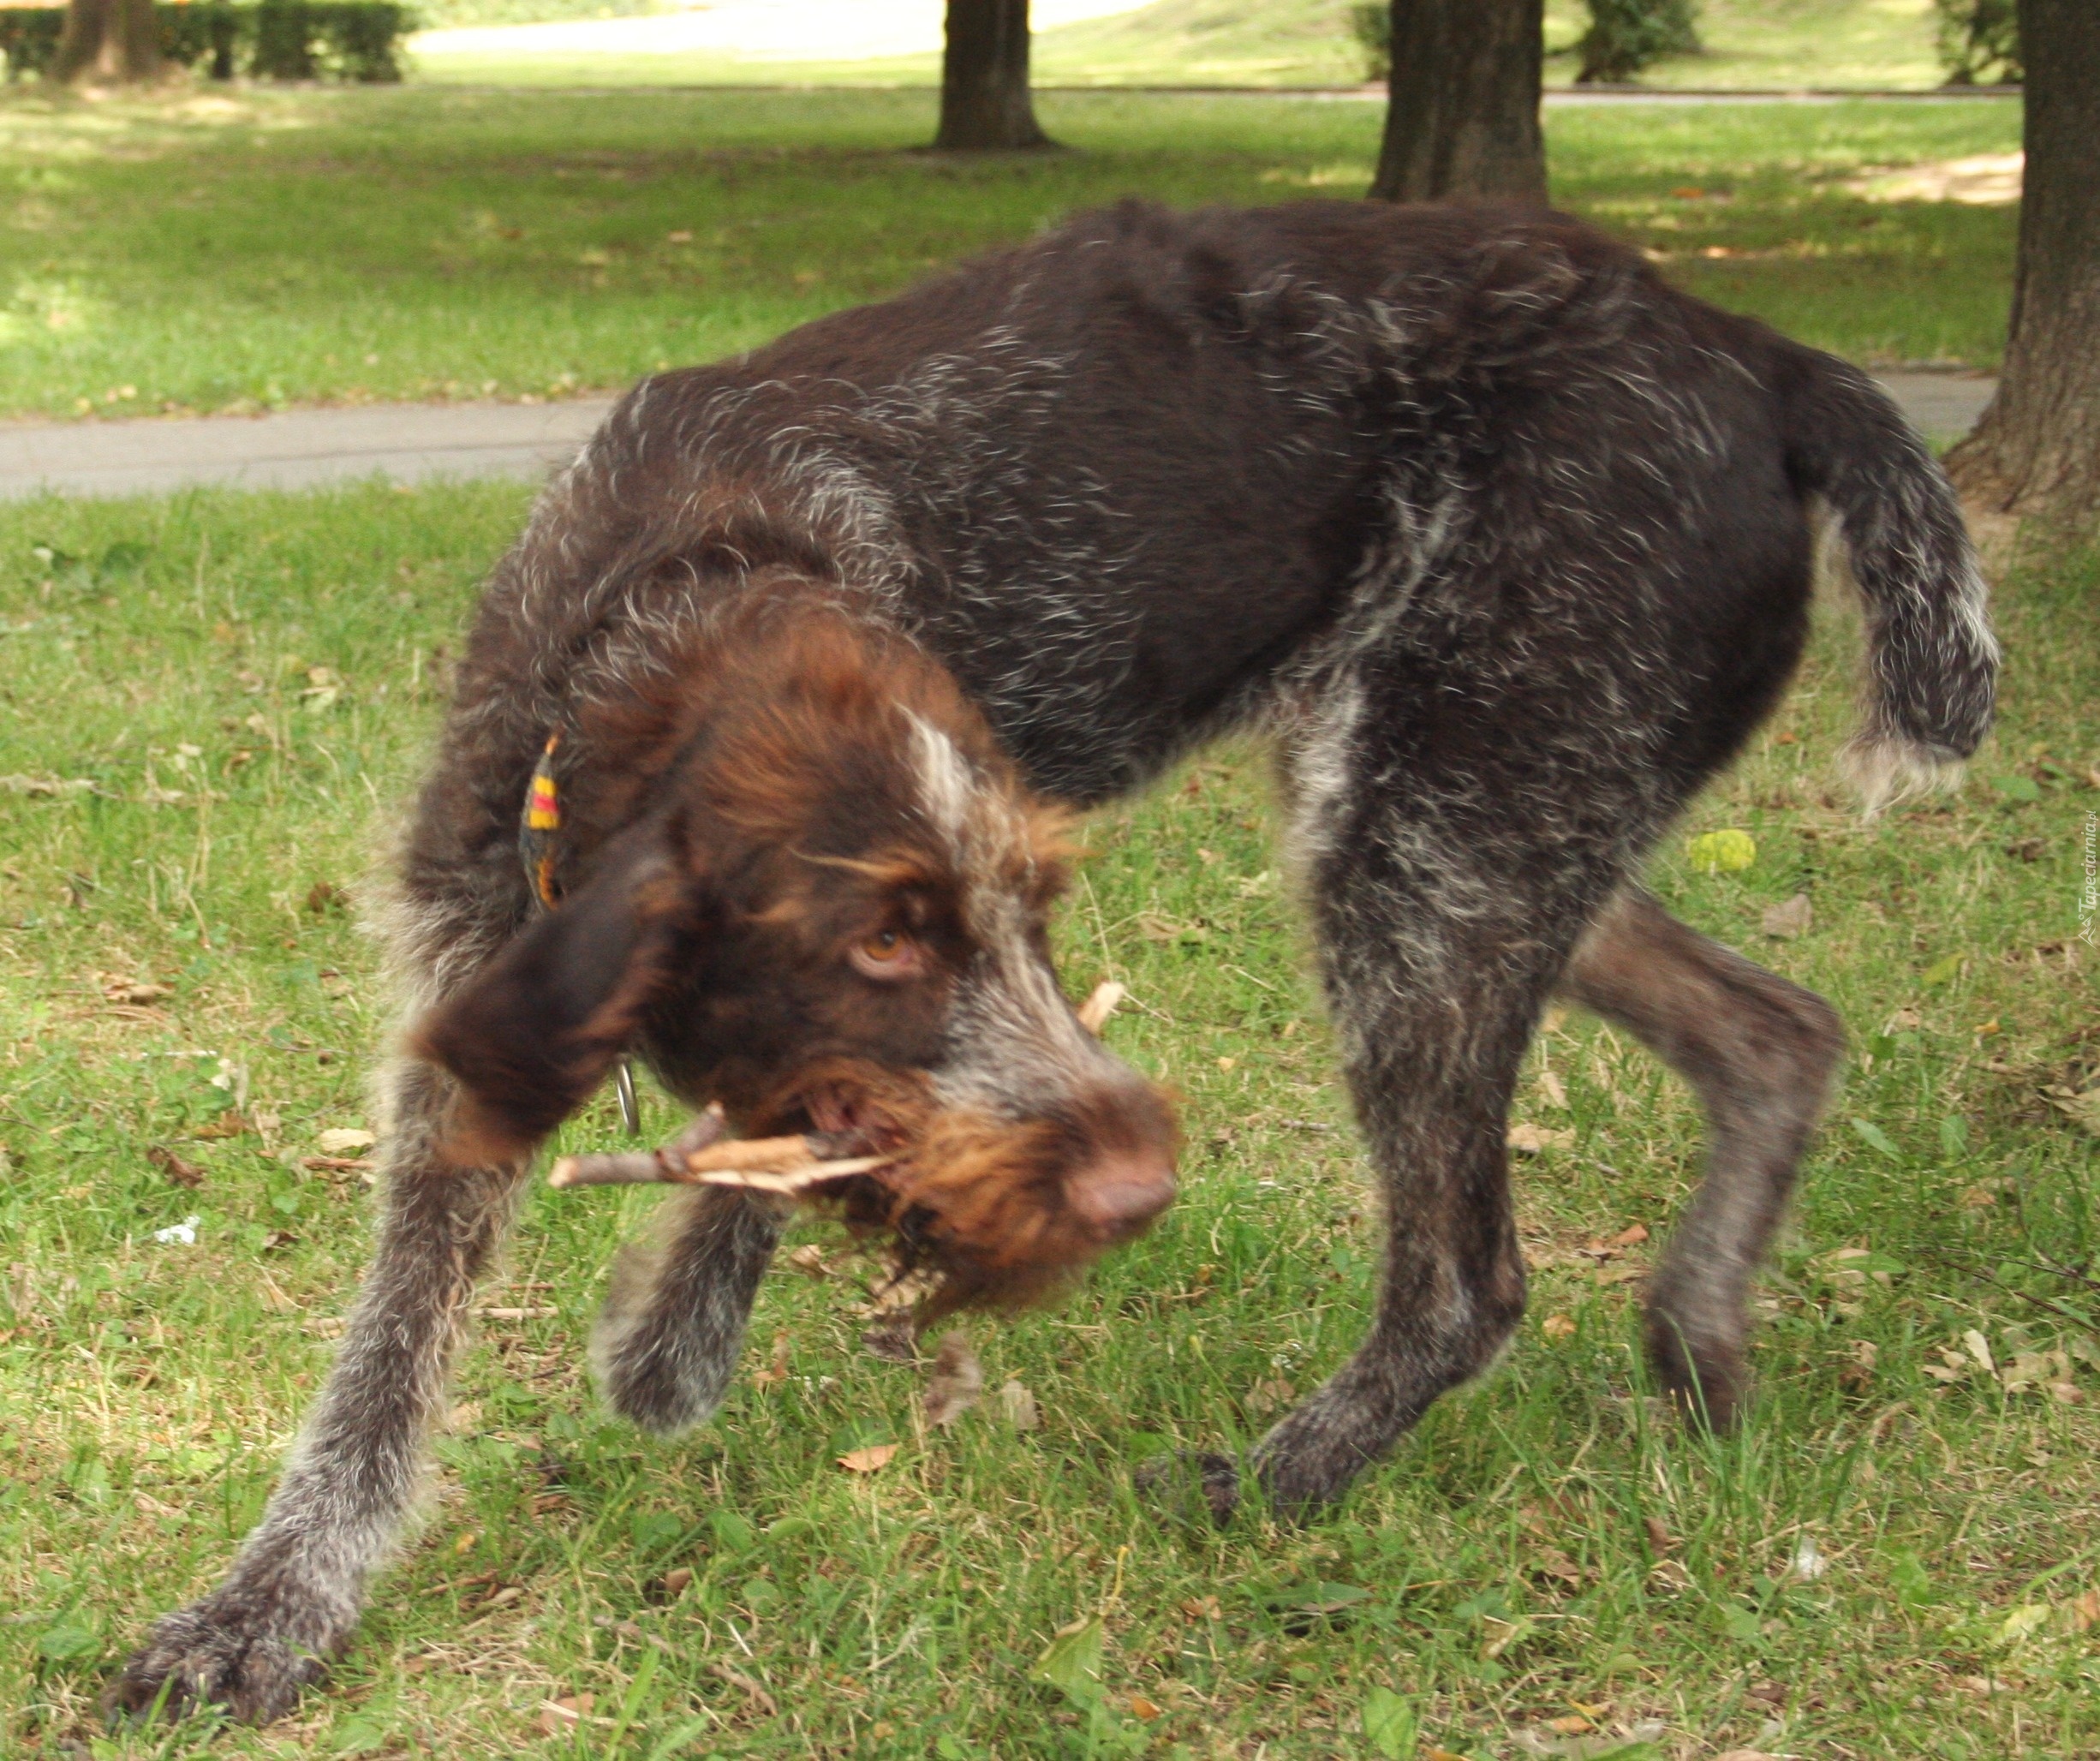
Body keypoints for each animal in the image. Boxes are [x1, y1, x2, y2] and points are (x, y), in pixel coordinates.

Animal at [110, 200, 1982, 1731]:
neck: (667, 598)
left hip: (1433, 851)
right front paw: (270, 1605)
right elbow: (384, 1362)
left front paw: (672, 1336)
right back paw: (1697, 1339)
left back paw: (1282, 1482)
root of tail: (1753, 351)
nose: (1134, 1183)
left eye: (1038, 912)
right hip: (1484, 825)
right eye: (879, 938)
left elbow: (748, 1181)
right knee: (1778, 1032)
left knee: (1469, 1280)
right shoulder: (472, 993)